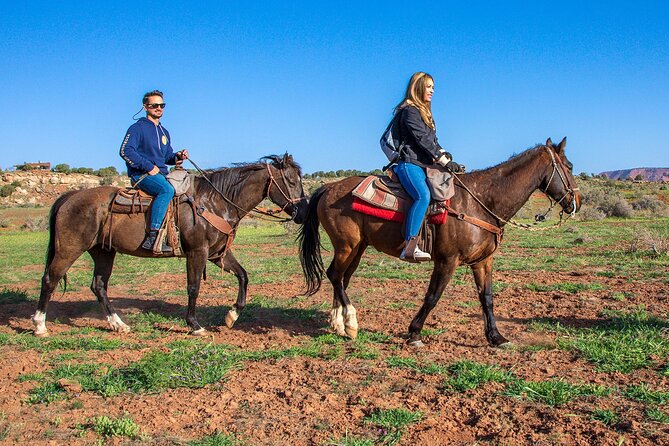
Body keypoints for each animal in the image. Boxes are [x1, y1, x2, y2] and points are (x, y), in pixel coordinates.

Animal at [34, 155, 308, 336]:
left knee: (98, 285)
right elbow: (193, 287)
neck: (214, 201)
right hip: (69, 249)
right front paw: (194, 325)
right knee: (50, 279)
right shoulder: (198, 252)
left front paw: (232, 316)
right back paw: (39, 325)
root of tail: (69, 196)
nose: (303, 212)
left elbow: (243, 276)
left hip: (103, 252)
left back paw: (118, 324)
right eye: (291, 181)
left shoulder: (217, 253)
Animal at [300, 138, 580, 346]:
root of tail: (328, 188)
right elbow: (433, 296)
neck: (481, 201)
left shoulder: (483, 261)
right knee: (334, 275)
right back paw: (350, 323)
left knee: (341, 278)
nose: (576, 201)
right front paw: (413, 332)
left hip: (357, 248)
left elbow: (487, 297)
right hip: (346, 245)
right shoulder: (447, 260)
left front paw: (496, 337)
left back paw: (339, 324)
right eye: (569, 166)